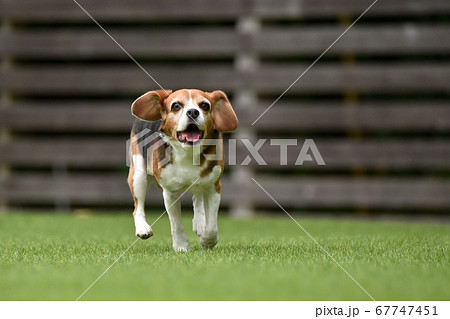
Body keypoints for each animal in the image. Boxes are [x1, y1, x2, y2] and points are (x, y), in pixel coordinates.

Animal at [127, 89, 237, 252]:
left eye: (204, 105)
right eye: (176, 106)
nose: (193, 112)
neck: (188, 153)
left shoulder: (213, 187)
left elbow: (211, 225)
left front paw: (208, 240)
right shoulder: (170, 192)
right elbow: (176, 224)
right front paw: (181, 247)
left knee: (198, 197)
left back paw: (200, 221)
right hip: (138, 175)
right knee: (137, 207)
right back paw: (142, 228)